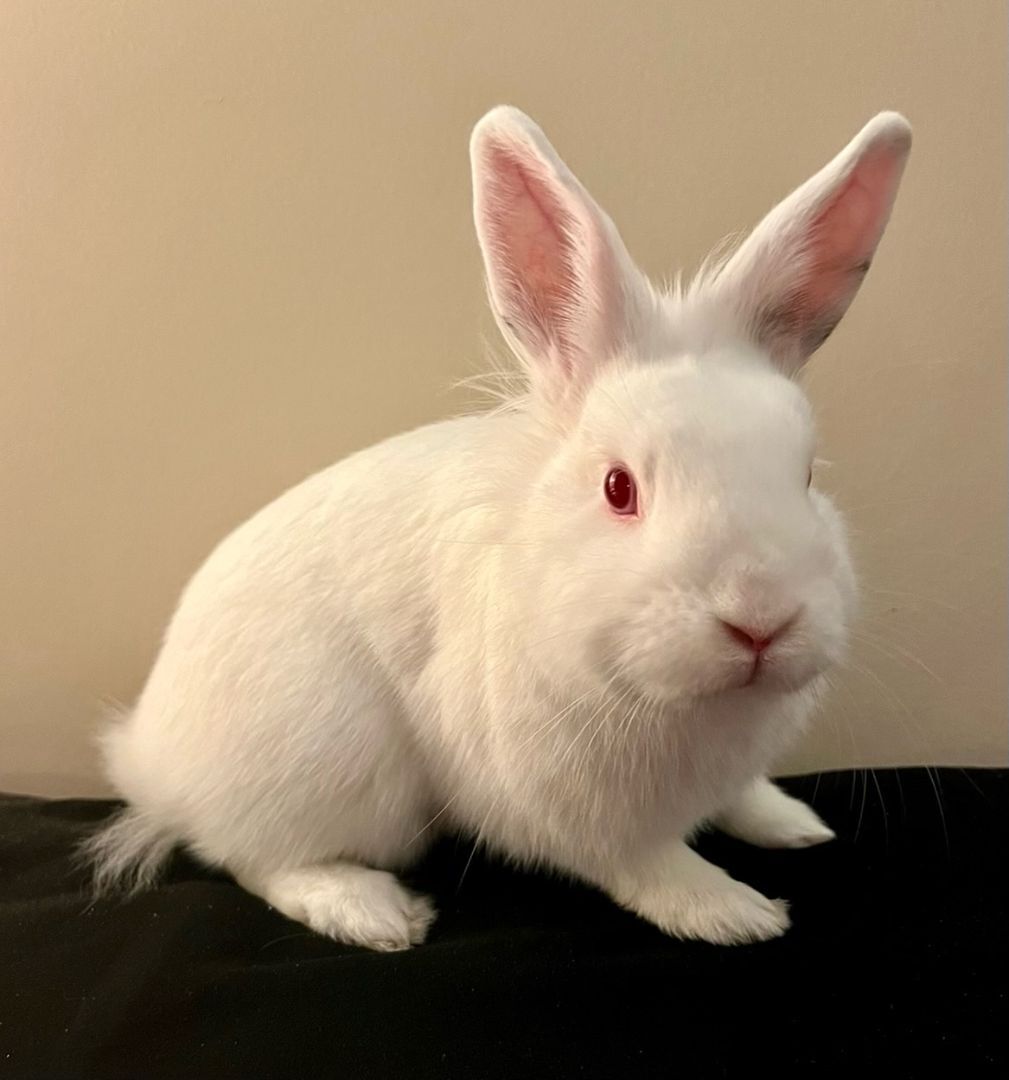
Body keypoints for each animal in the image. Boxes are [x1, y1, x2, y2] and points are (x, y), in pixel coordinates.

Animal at [86, 105, 911, 950]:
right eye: (618, 489)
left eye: (805, 475)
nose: (759, 621)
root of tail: (150, 756)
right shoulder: (569, 804)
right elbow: (646, 864)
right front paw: (735, 914)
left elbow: (742, 797)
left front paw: (793, 824)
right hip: (335, 774)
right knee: (253, 858)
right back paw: (372, 912)